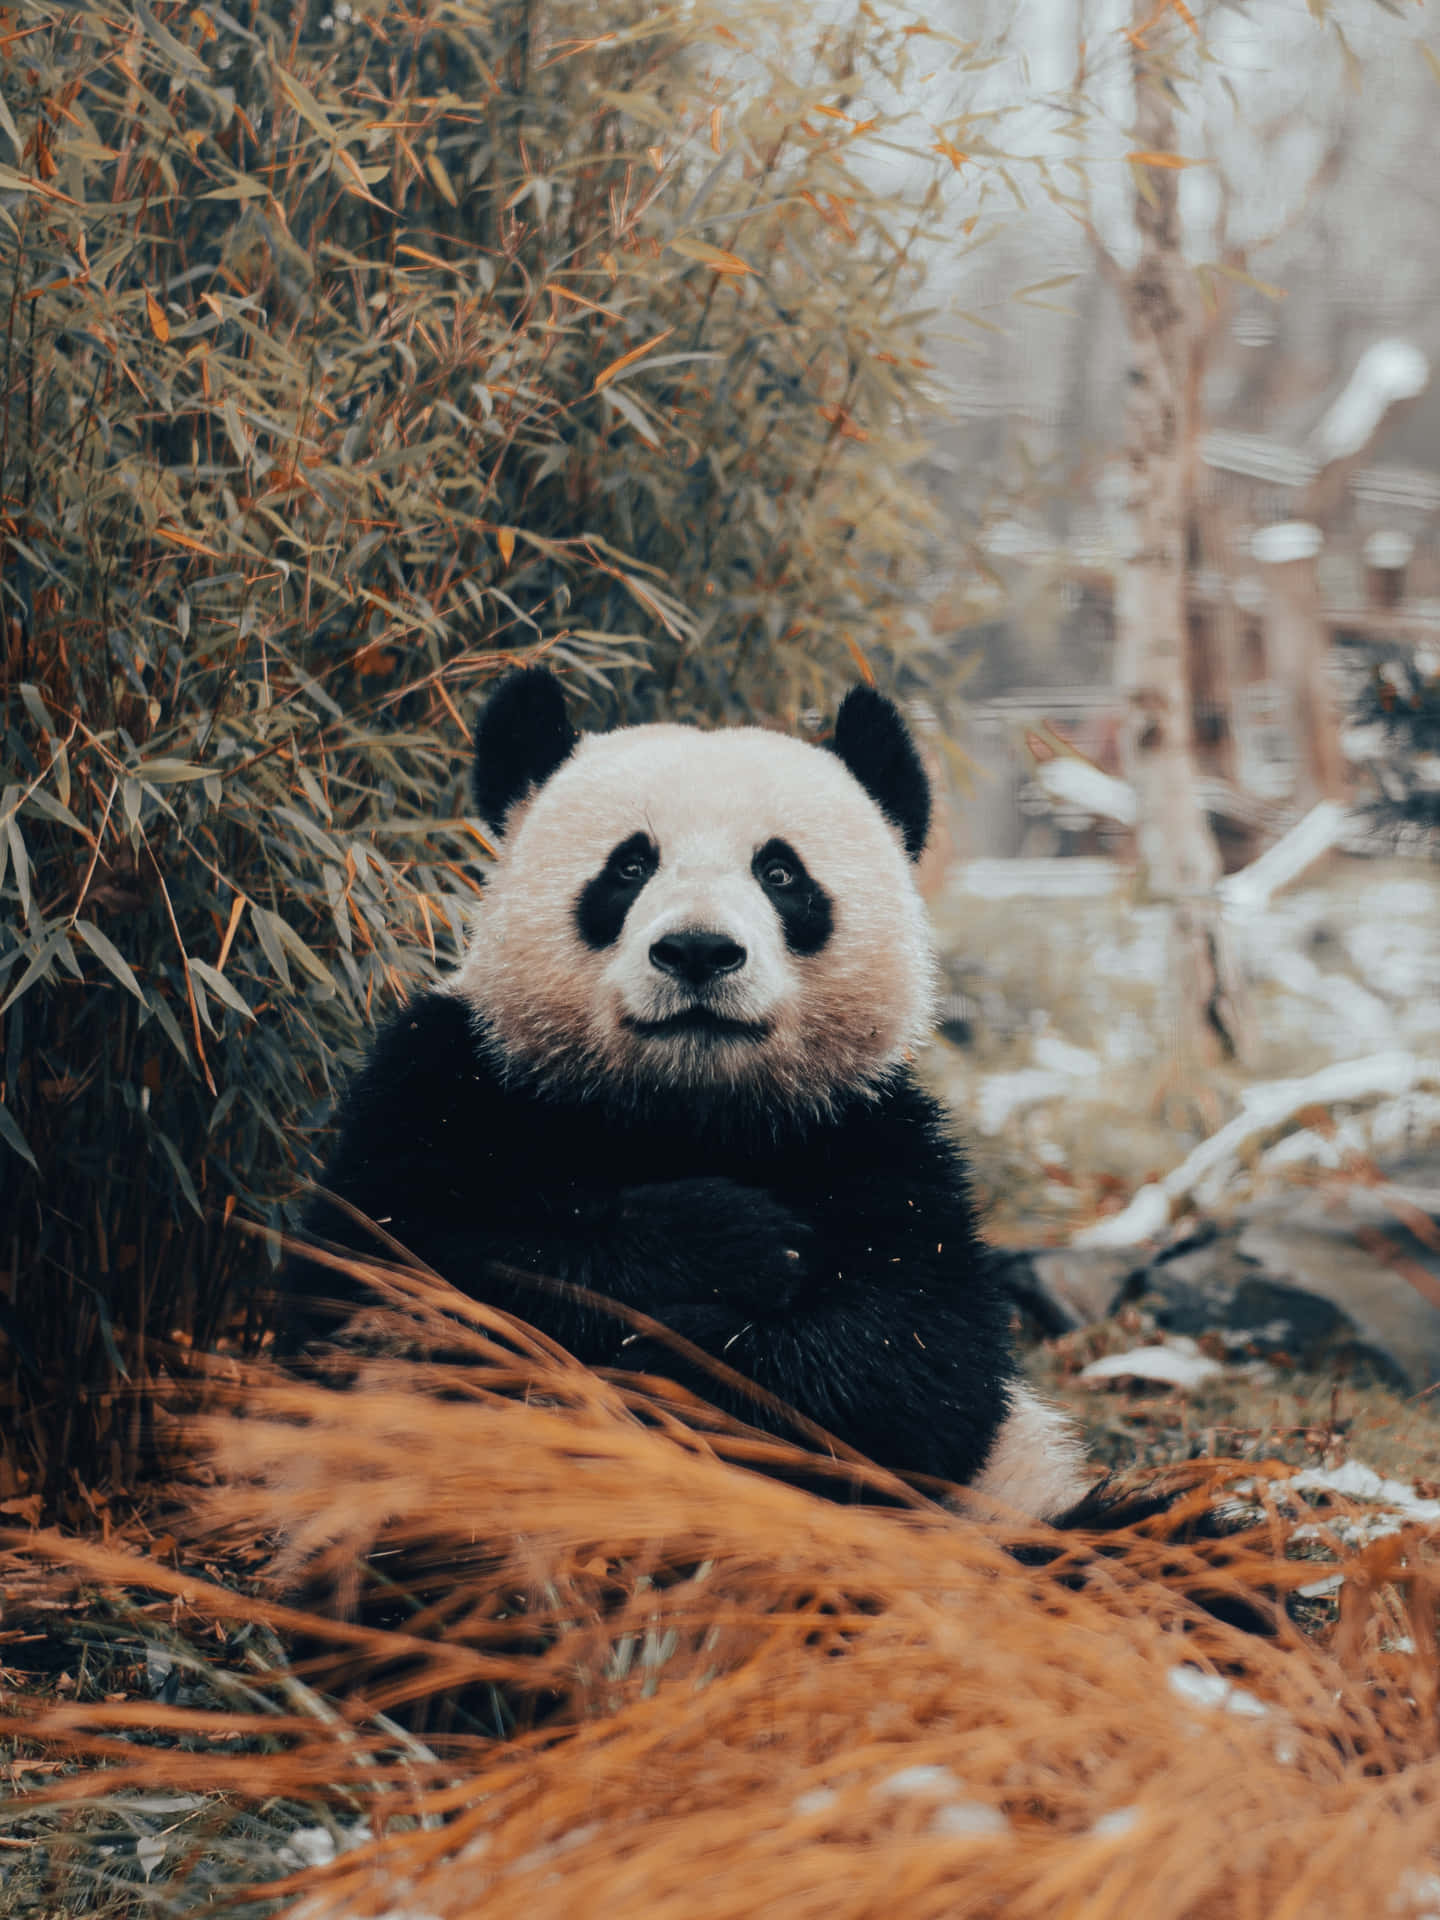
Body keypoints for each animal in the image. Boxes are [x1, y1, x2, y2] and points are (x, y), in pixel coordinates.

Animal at [288, 668, 1090, 1520]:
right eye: (629, 867)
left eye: (780, 873)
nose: (699, 950)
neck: (685, 1104)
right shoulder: (452, 1081)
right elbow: (395, 1273)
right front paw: (732, 1238)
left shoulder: (873, 1135)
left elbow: (916, 1364)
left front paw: (697, 1354)